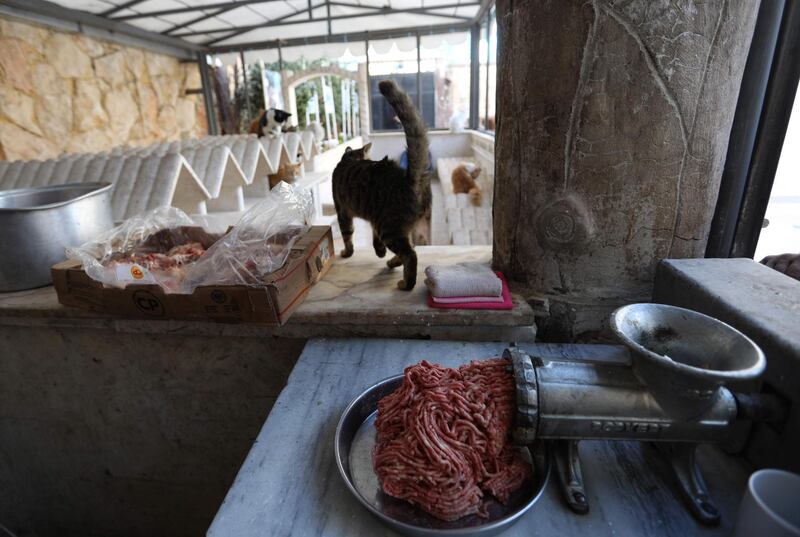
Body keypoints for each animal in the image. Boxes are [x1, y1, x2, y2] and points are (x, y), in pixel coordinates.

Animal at [332, 78, 432, 288]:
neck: (350, 159)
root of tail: (409, 178)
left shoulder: (343, 211)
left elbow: (347, 236)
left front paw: (347, 253)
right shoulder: (373, 220)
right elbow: (373, 239)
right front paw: (379, 252)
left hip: (389, 227)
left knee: (410, 254)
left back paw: (406, 284)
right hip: (399, 226)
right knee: (408, 249)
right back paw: (392, 262)